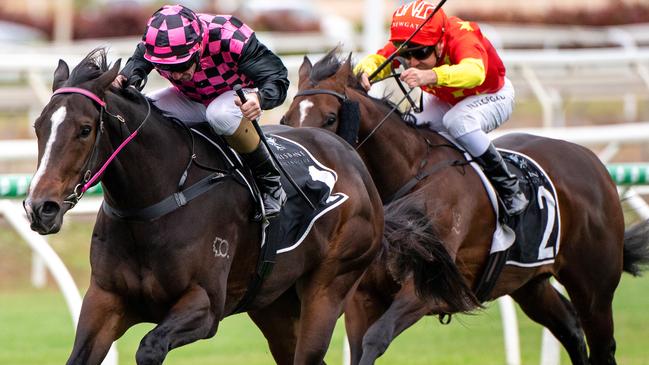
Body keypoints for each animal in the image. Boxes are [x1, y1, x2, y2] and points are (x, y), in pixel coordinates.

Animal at [22, 49, 388, 364]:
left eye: (85, 130)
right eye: (38, 127)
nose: (41, 207)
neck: (155, 202)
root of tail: (349, 154)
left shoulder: (205, 305)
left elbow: (149, 347)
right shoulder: (105, 300)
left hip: (330, 286)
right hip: (274, 304)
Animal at [280, 50, 648, 364]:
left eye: (330, 118)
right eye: (286, 118)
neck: (411, 174)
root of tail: (591, 160)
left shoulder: (428, 289)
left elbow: (376, 339)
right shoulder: (361, 295)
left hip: (594, 284)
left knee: (602, 344)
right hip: (530, 285)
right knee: (570, 328)